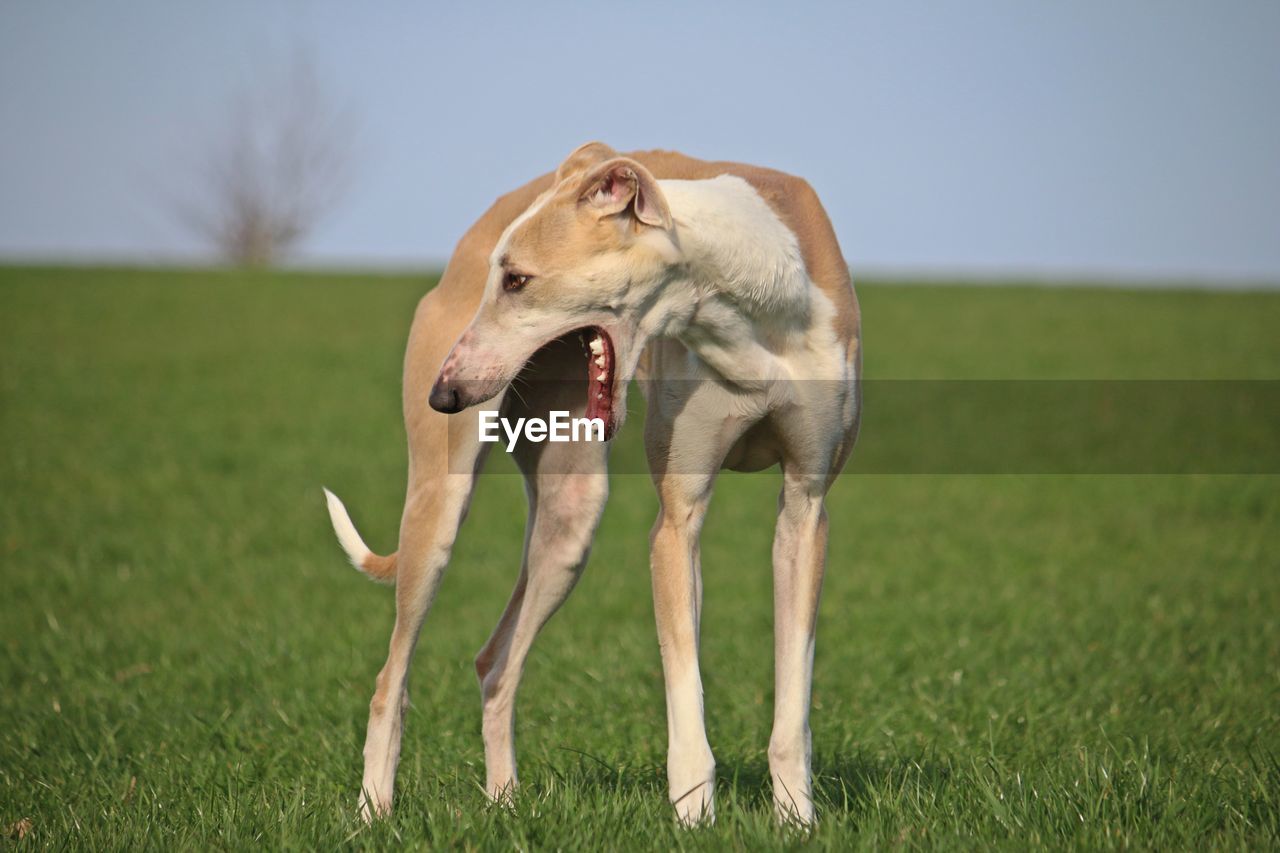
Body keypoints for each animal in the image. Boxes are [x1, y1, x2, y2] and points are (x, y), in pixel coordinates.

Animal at [322, 140, 860, 824]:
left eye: (517, 279)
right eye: (498, 276)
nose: (443, 395)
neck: (753, 300)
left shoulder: (805, 508)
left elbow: (792, 702)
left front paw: (795, 820)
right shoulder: (677, 520)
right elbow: (685, 688)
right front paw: (694, 818)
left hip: (569, 525)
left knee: (496, 662)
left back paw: (505, 803)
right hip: (440, 509)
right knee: (391, 679)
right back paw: (374, 812)